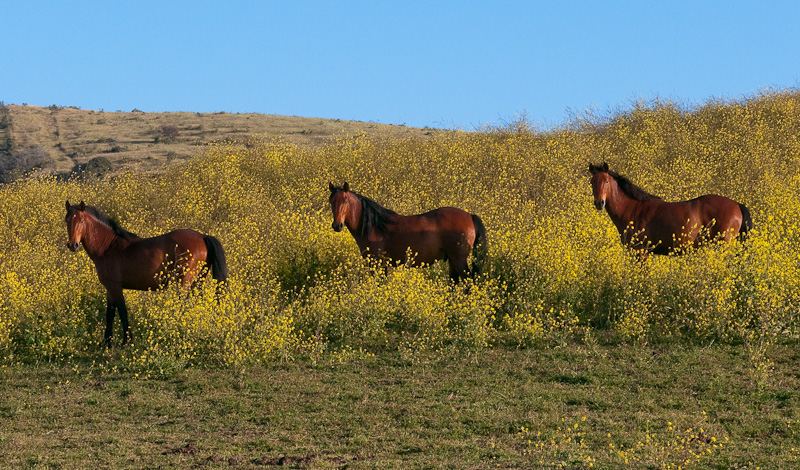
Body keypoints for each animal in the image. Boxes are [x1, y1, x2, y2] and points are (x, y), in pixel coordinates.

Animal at [64, 199, 228, 346]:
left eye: (81, 221)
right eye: (67, 221)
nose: (73, 245)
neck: (108, 246)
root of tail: (202, 236)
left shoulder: (115, 287)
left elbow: (122, 312)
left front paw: (126, 342)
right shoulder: (109, 288)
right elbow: (110, 314)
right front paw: (106, 343)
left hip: (184, 282)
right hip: (198, 281)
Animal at [326, 183, 488, 280]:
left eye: (345, 201)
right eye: (331, 201)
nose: (337, 225)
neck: (373, 226)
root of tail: (470, 215)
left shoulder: (376, 263)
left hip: (459, 259)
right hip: (452, 260)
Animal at [588, 162, 752, 258]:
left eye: (606, 181)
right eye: (592, 182)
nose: (599, 203)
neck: (632, 208)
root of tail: (737, 205)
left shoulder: (641, 251)